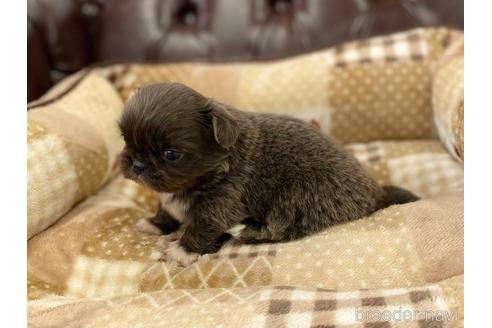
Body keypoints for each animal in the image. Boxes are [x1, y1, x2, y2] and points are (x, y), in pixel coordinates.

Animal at [119, 82, 416, 266]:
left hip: (300, 195)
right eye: (125, 139)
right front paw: (155, 224)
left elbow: (201, 226)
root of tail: (376, 192)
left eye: (170, 154)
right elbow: (166, 210)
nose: (137, 164)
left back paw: (246, 230)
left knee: (279, 228)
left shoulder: (221, 204)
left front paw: (182, 250)